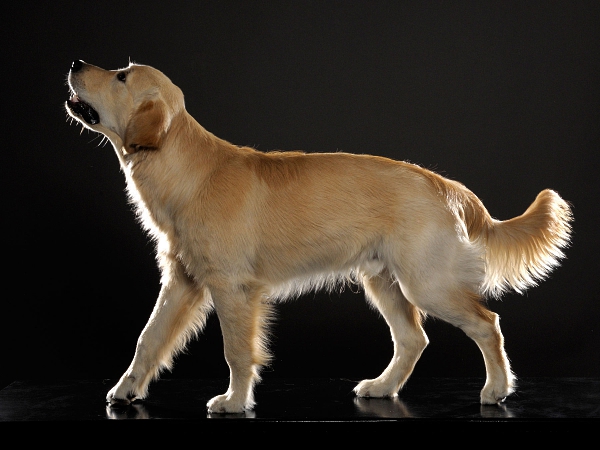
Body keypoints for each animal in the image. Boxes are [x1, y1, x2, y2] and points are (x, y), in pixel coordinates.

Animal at [64, 60, 572, 414]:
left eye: (121, 75)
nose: (74, 63)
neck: (189, 171)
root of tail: (442, 183)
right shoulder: (182, 282)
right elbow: (147, 340)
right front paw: (125, 390)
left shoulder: (232, 288)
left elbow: (236, 351)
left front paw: (234, 401)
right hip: (383, 281)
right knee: (413, 339)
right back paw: (382, 388)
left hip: (428, 283)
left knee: (488, 324)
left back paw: (496, 389)